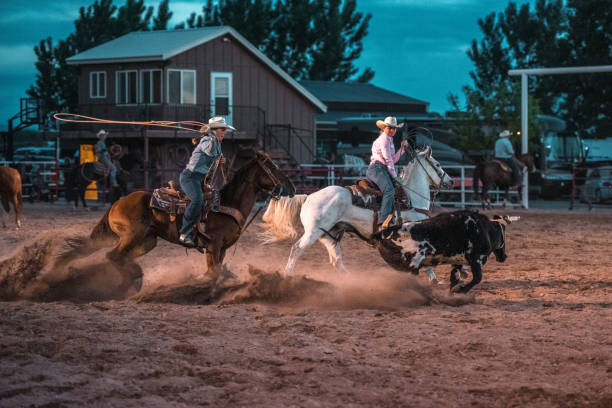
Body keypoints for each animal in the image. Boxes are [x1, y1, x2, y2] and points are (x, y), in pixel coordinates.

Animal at [58, 150, 296, 286]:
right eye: (273, 166)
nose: (291, 186)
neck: (226, 204)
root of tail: (117, 202)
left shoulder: (221, 249)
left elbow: (216, 271)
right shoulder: (213, 245)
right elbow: (212, 273)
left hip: (147, 241)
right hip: (133, 236)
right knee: (113, 256)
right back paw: (132, 280)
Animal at [260, 146, 452, 278]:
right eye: (437, 164)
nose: (450, 181)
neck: (411, 198)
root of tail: (308, 197)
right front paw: (433, 278)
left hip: (329, 234)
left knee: (336, 260)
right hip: (313, 233)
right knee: (297, 249)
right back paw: (287, 275)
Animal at [370, 210, 520, 294]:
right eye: (503, 233)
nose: (504, 256)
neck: (485, 229)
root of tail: (382, 233)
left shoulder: (458, 261)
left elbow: (454, 277)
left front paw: (454, 291)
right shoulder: (476, 259)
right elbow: (477, 278)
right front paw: (461, 290)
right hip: (413, 263)